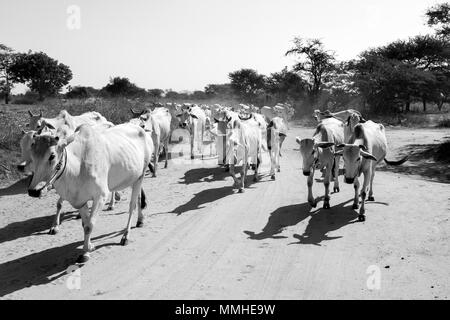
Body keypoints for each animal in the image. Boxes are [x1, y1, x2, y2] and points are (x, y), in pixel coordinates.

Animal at [27, 123, 151, 262]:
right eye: (32, 156)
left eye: (52, 156)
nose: (34, 191)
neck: (78, 167)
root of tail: (140, 128)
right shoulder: (80, 201)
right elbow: (84, 224)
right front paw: (89, 247)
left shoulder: (100, 197)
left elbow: (89, 225)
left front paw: (85, 252)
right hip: (133, 178)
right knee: (139, 198)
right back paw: (140, 220)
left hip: (141, 175)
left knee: (132, 206)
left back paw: (126, 235)